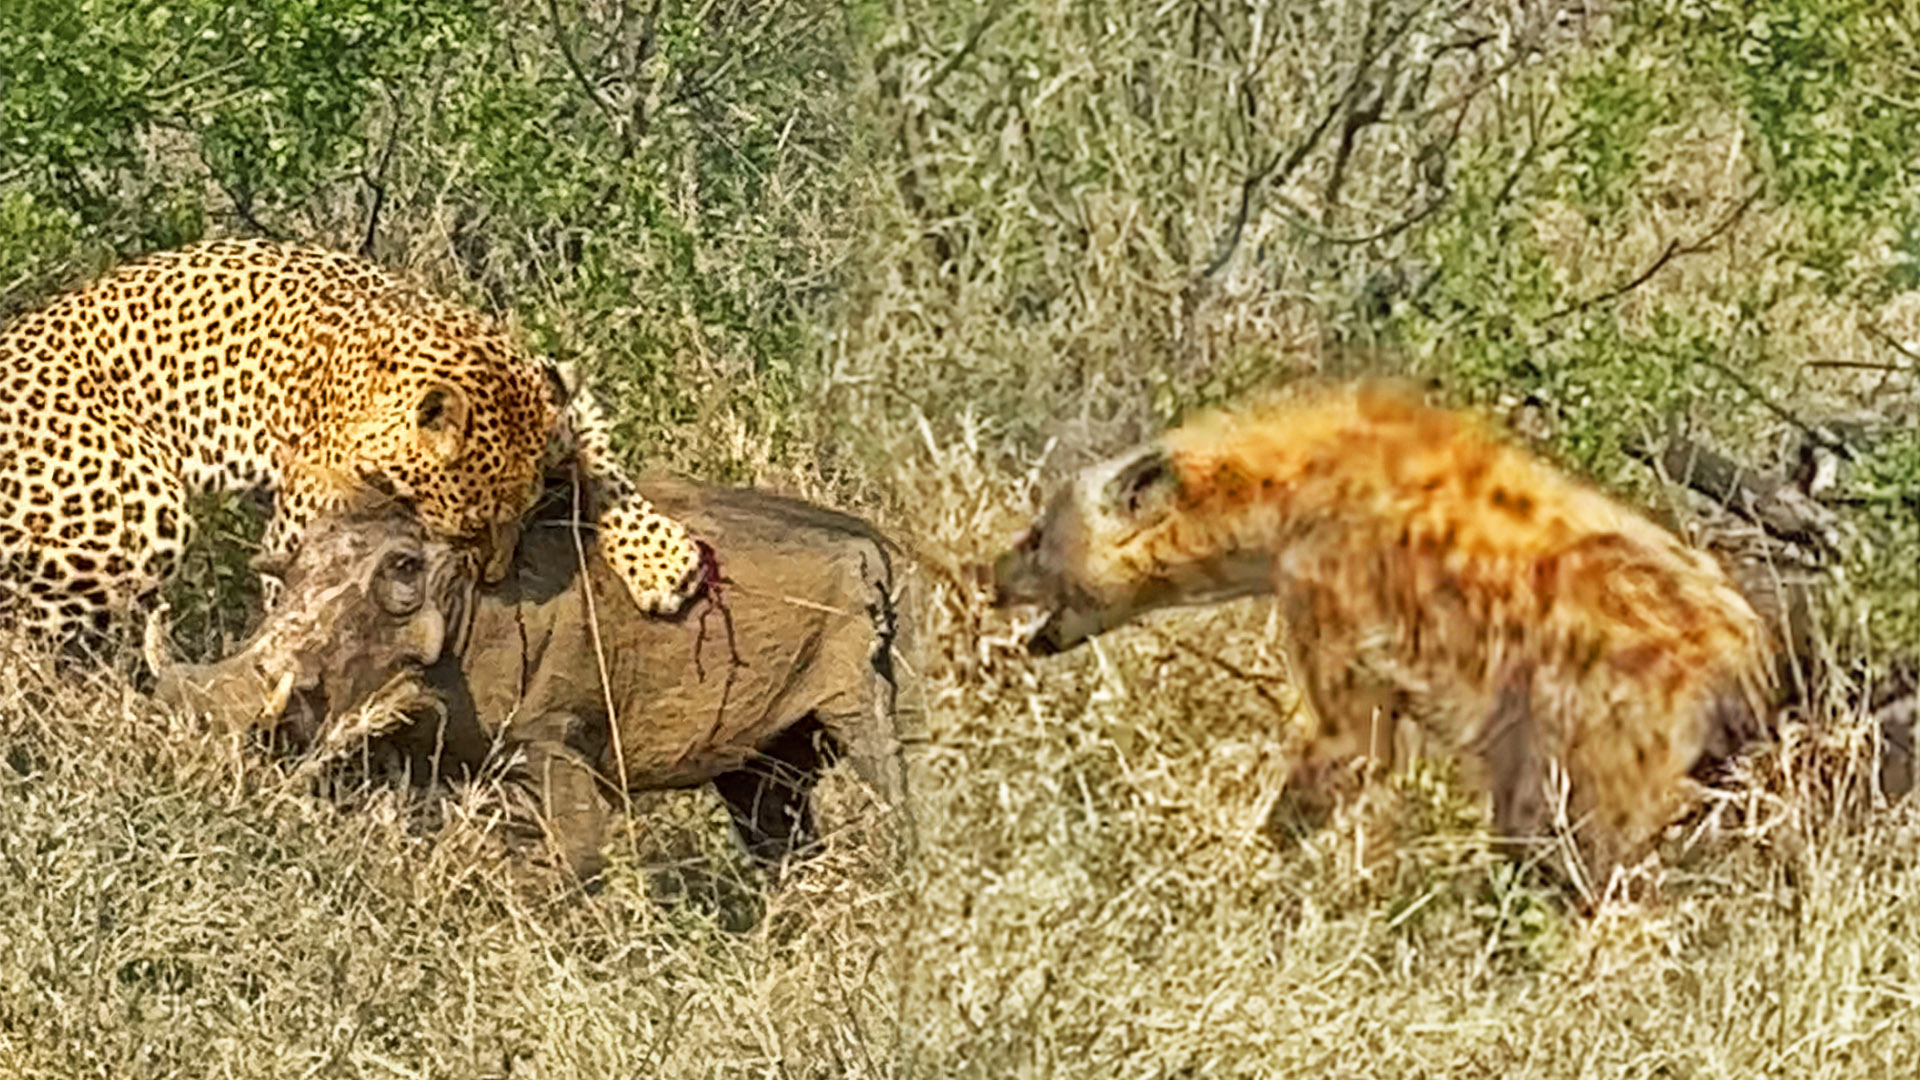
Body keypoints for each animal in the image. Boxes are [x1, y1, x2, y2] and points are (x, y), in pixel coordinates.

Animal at [0, 237, 706, 645]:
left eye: (525, 516)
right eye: (471, 529)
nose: (499, 576)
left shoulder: (558, 396)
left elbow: (606, 467)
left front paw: (662, 559)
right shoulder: (304, 531)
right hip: (141, 514)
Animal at [998, 378, 1774, 899]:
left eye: (1037, 537)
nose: (992, 575)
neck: (1286, 501)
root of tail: (1744, 639)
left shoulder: (1345, 633)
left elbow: (1338, 759)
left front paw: (1235, 875)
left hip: (1596, 741)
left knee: (1589, 869)